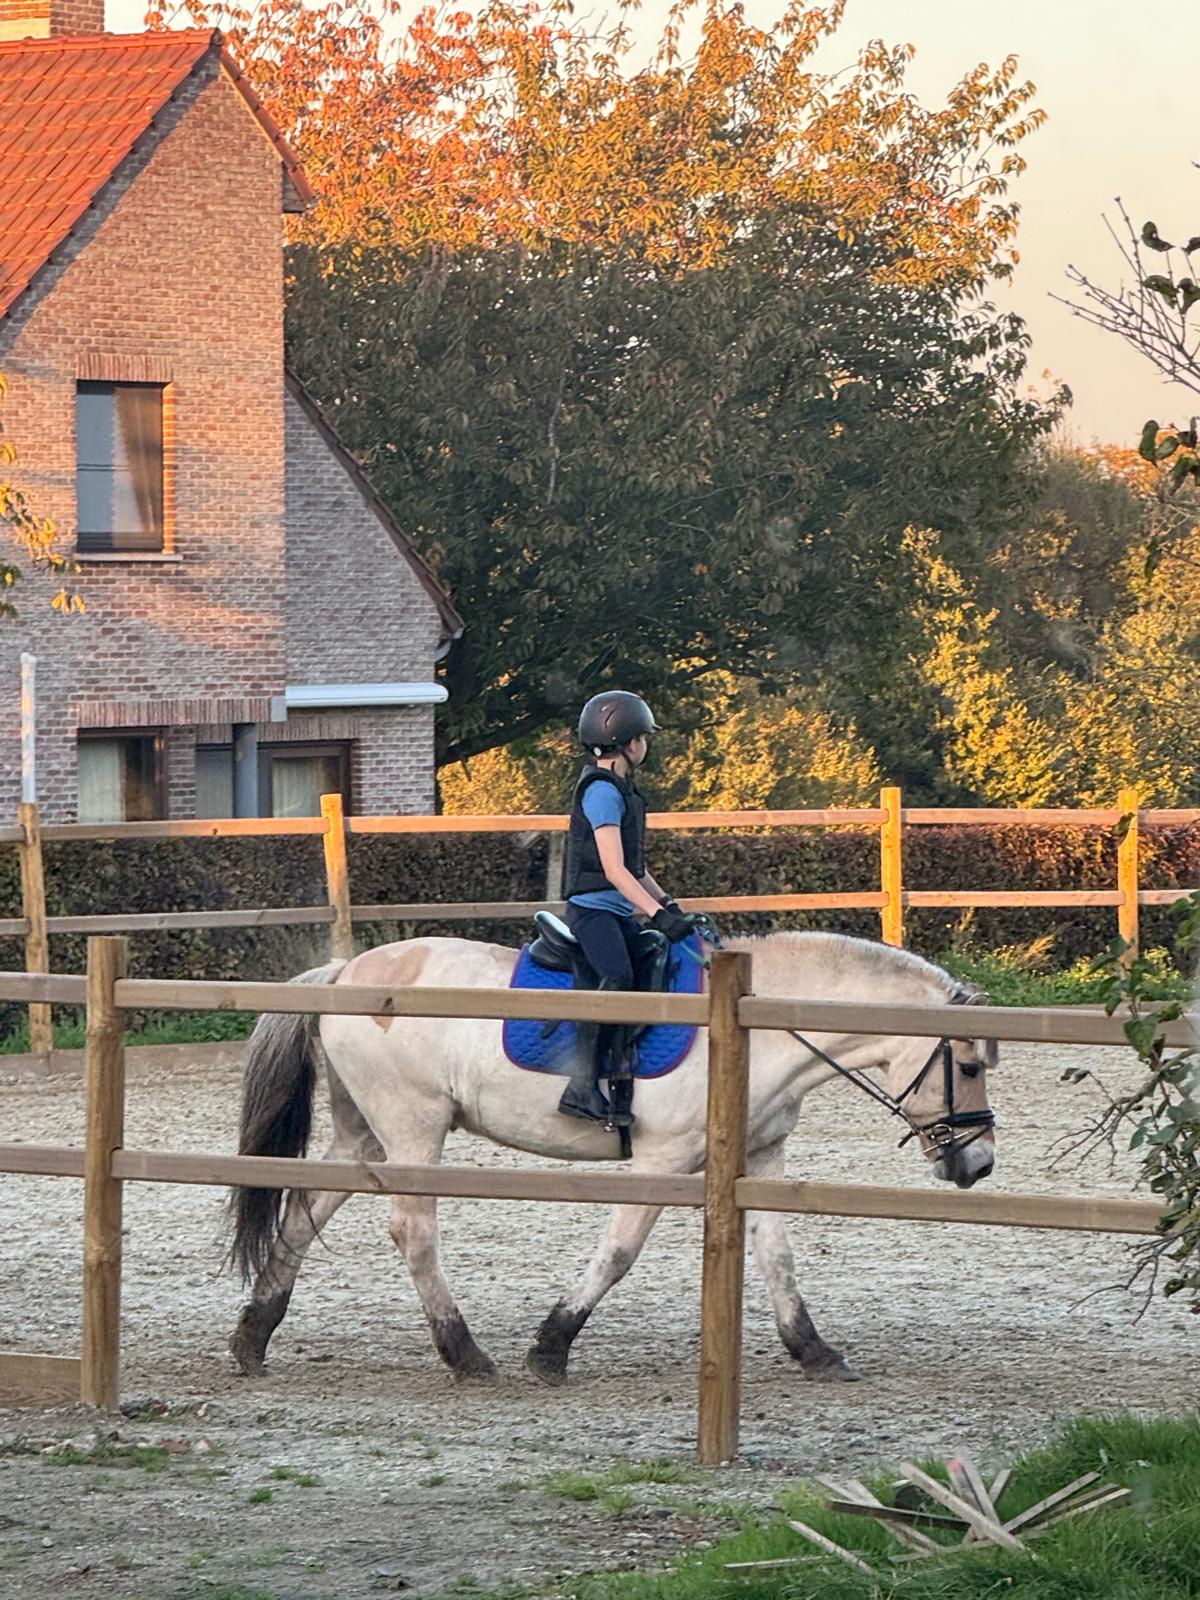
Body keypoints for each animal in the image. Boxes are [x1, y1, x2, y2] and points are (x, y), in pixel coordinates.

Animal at [227, 929, 998, 1386]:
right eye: (966, 1065)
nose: (980, 1164)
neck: (761, 1026)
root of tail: (347, 970)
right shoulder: (664, 1160)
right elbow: (620, 1251)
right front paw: (551, 1346)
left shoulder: (760, 1156)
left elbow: (778, 1257)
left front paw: (813, 1351)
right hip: (414, 1129)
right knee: (414, 1232)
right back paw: (465, 1354)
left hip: (364, 1136)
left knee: (302, 1213)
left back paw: (253, 1338)